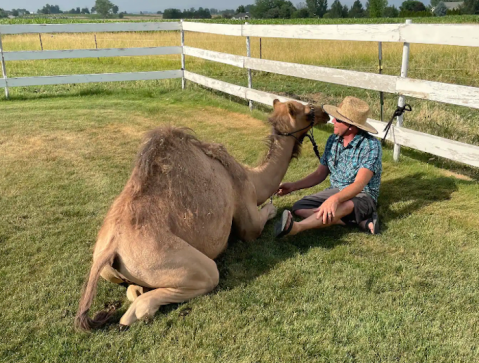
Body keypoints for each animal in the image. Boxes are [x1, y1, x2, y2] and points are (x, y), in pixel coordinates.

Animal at [76, 99, 330, 330]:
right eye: (306, 111)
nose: (325, 113)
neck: (252, 177)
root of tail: (110, 249)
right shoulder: (246, 209)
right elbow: (260, 219)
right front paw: (273, 208)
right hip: (173, 260)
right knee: (187, 285)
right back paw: (140, 313)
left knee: (133, 289)